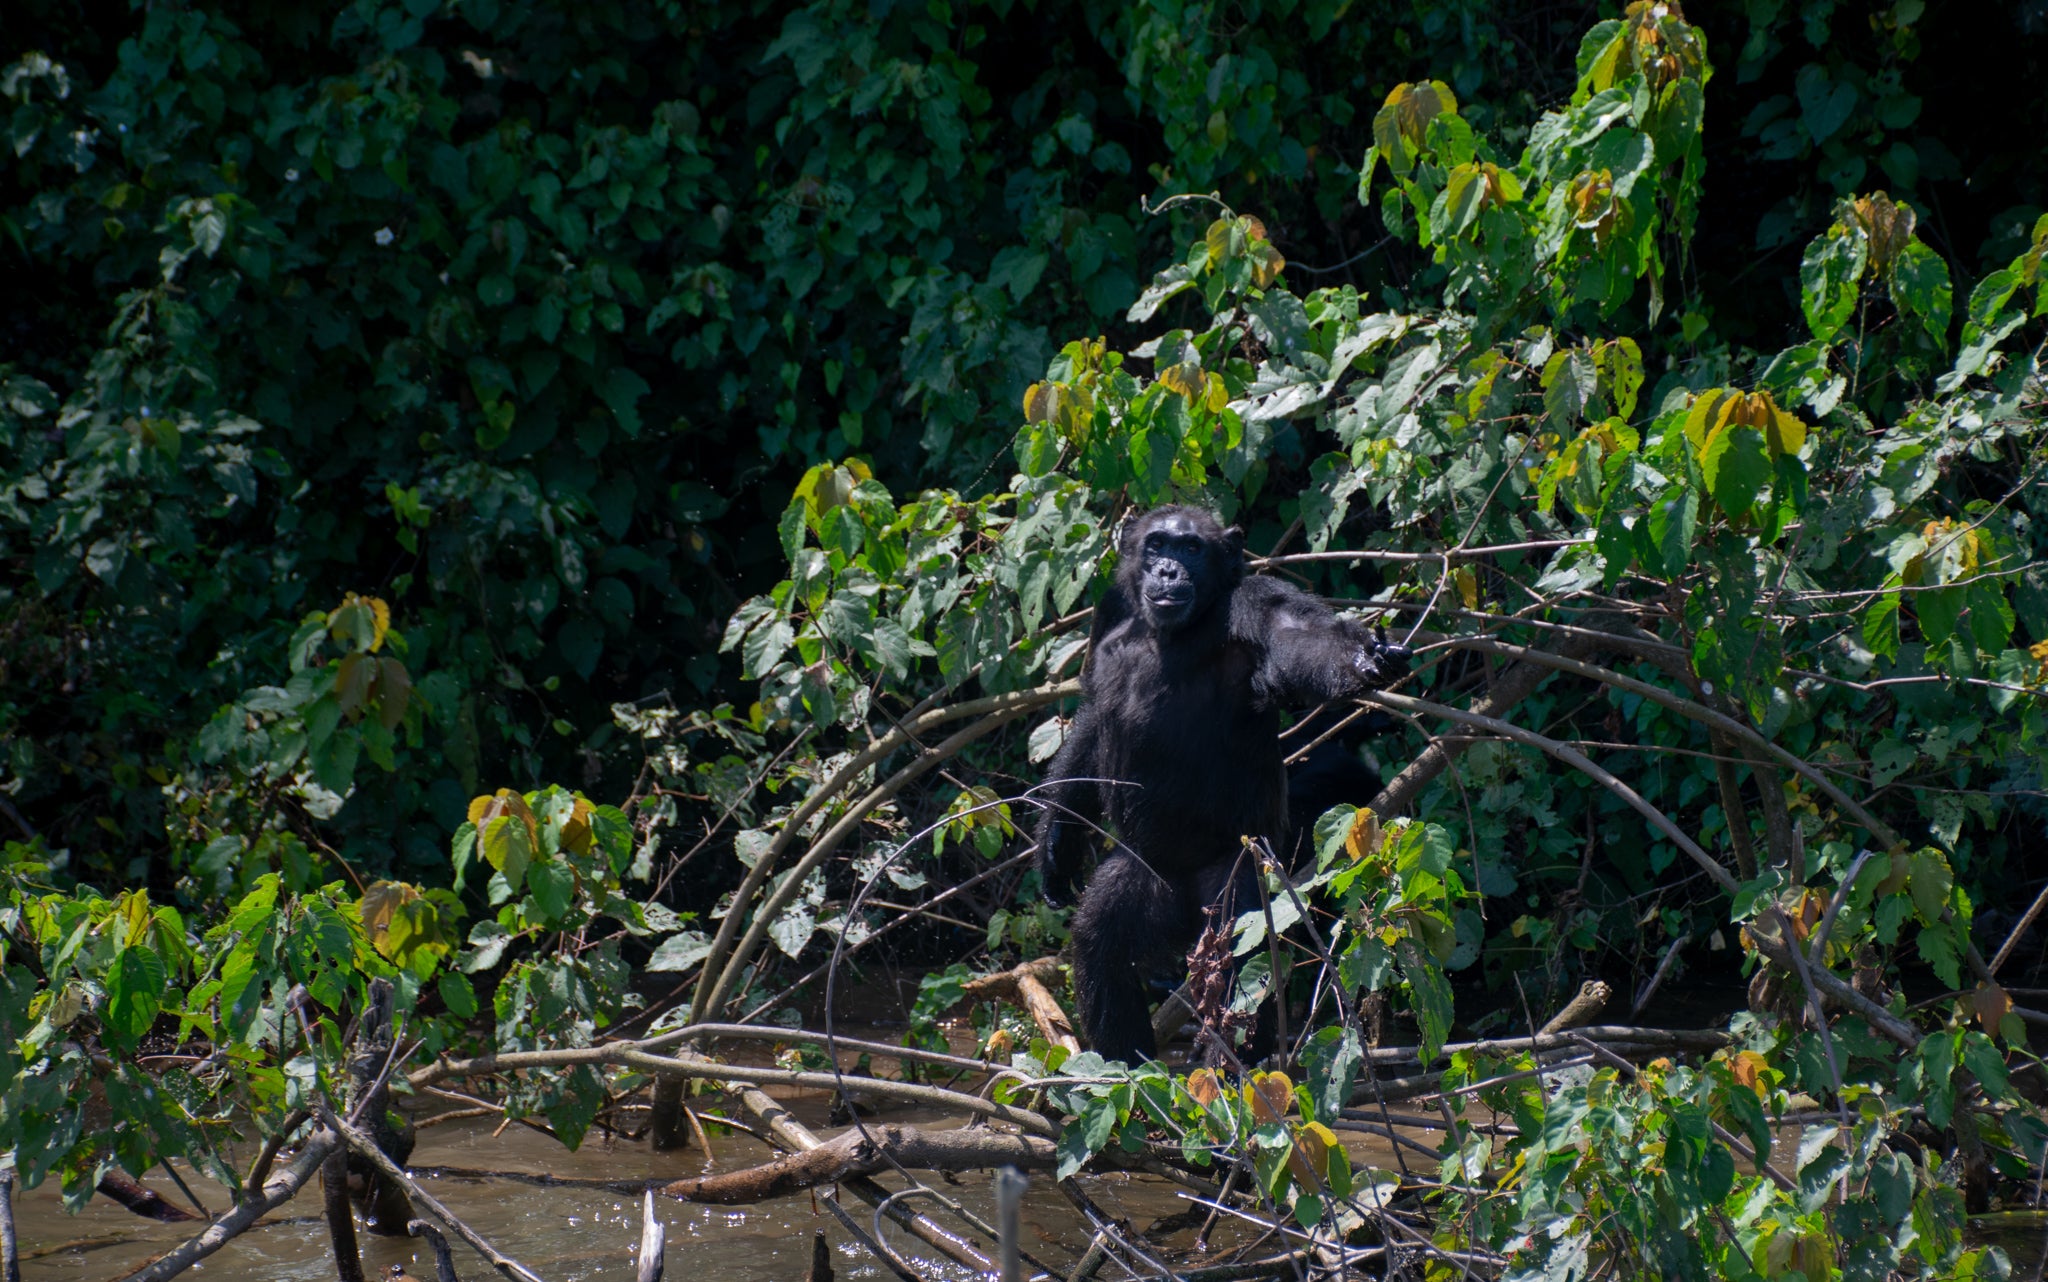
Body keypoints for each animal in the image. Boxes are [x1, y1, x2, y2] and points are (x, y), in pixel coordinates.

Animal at [1040, 503, 1409, 1064]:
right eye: (1157, 544)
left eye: (1192, 547)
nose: (1168, 569)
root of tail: (1187, 911)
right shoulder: (1110, 608)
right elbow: (1091, 716)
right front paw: (1057, 844)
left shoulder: (1260, 605)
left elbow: (1305, 636)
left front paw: (1367, 657)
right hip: (1150, 874)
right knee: (1099, 943)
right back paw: (1127, 1069)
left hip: (1247, 871)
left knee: (1244, 949)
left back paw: (1239, 1072)